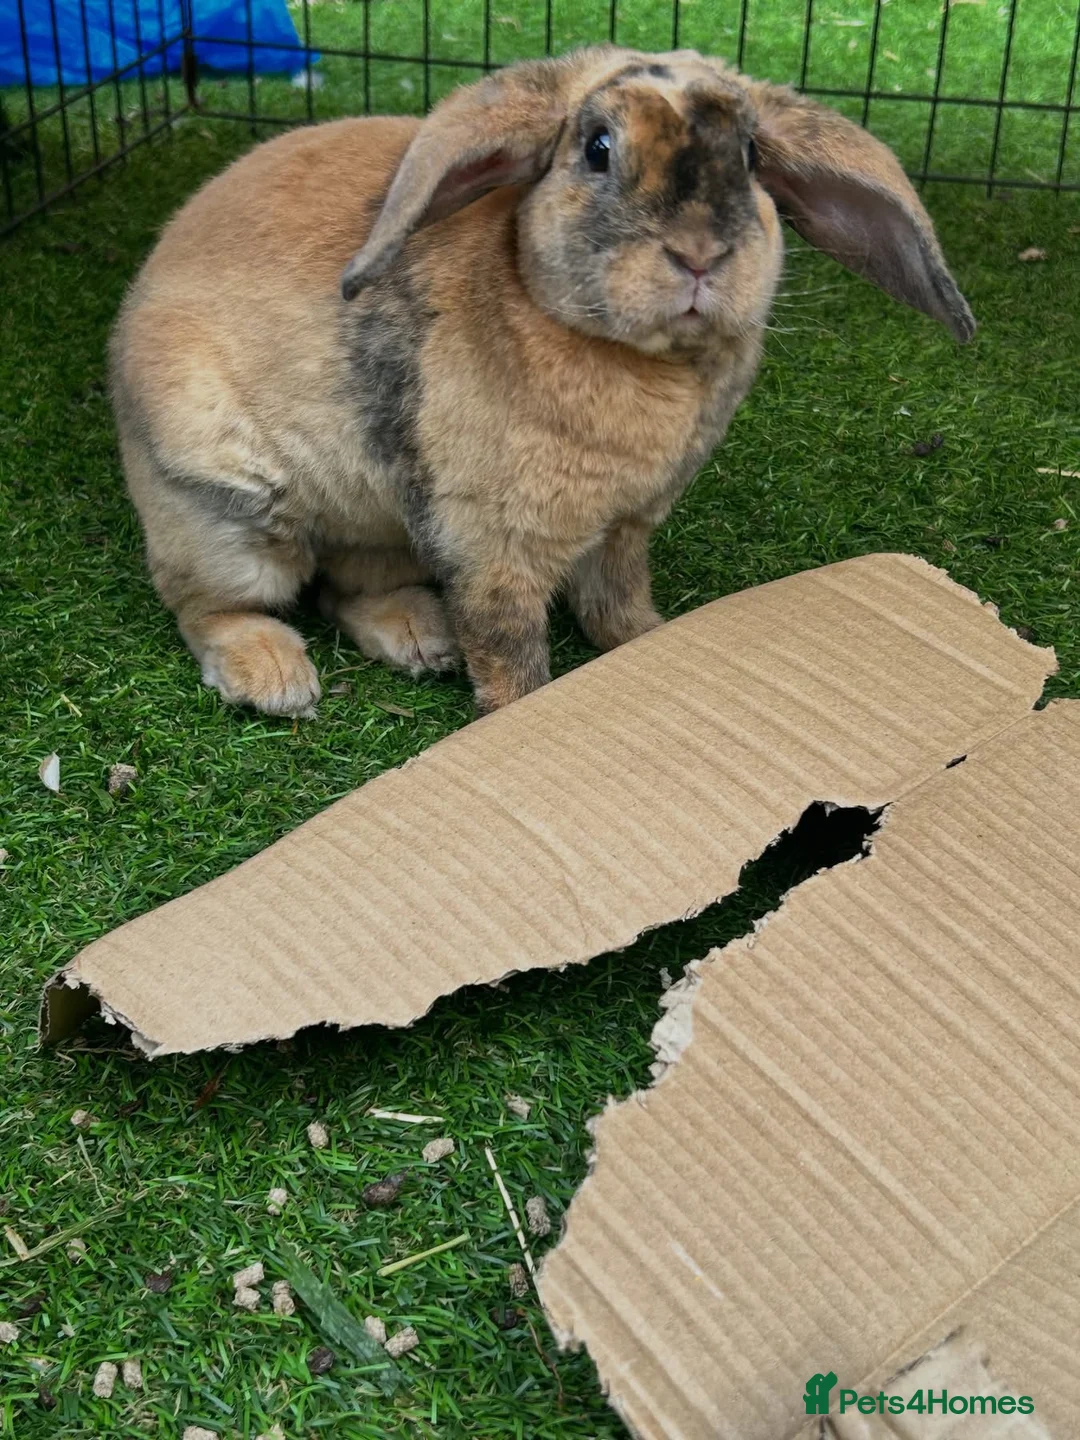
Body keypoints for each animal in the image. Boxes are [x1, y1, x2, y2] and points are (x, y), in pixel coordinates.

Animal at [110, 45, 974, 717]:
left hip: (381, 521)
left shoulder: (623, 531)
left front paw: (655, 643)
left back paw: (418, 638)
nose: (698, 254)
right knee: (209, 605)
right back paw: (275, 678)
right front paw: (519, 714)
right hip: (228, 517)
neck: (636, 358)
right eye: (597, 148)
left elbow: (615, 604)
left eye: (753, 157)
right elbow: (509, 649)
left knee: (349, 587)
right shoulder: (495, 547)